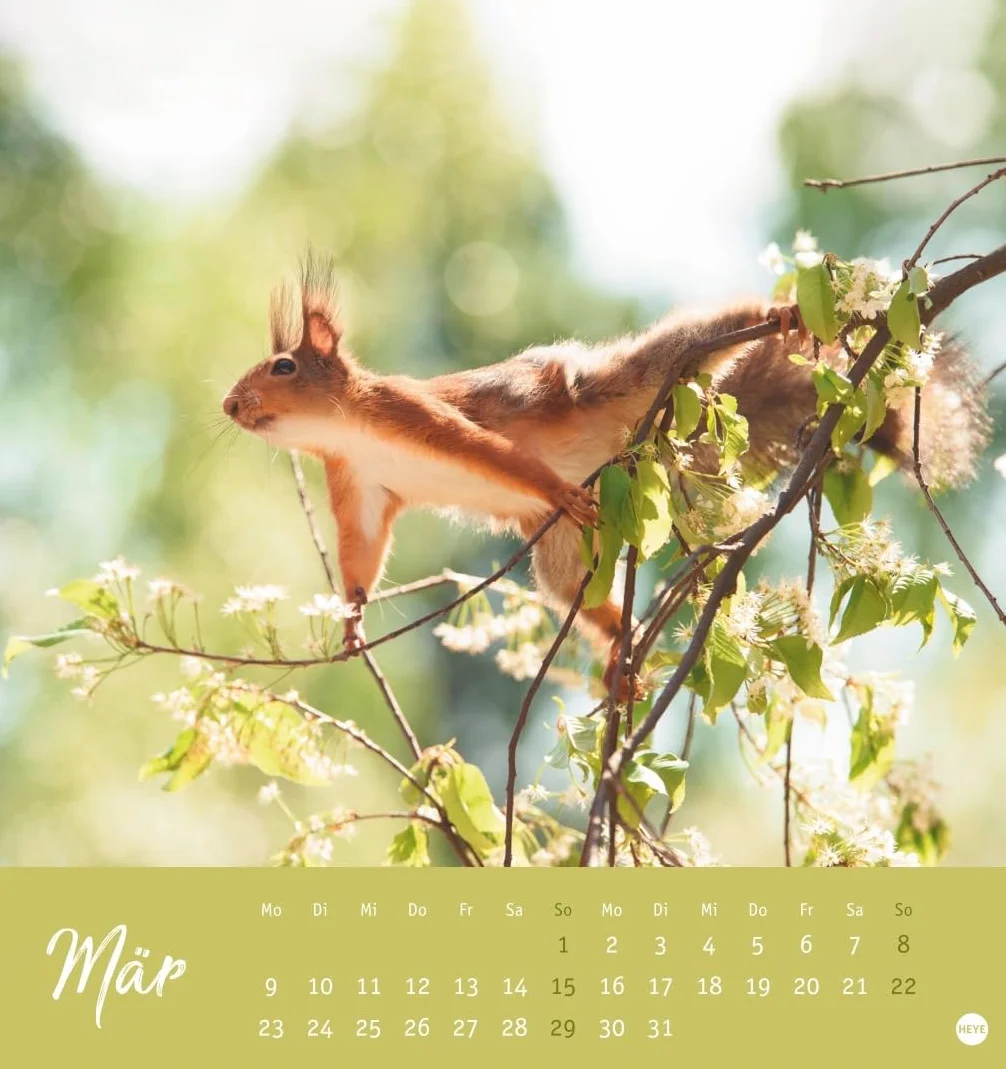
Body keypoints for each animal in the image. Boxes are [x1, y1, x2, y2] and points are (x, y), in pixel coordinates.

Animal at [223, 254, 990, 693]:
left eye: (283, 366)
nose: (229, 405)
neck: (345, 428)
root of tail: (633, 440)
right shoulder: (359, 483)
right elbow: (361, 548)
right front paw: (352, 618)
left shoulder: (413, 413)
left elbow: (488, 452)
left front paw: (550, 482)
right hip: (565, 553)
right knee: (580, 596)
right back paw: (621, 655)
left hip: (644, 375)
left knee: (696, 338)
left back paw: (779, 311)